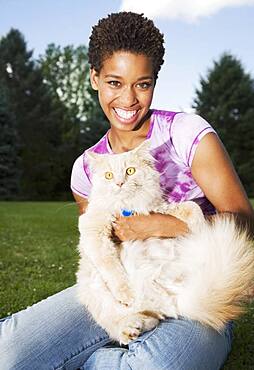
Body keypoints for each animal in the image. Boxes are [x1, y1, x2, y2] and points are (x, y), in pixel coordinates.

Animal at [77, 140, 254, 342]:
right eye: (108, 175)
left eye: (130, 171)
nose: (119, 183)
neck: (127, 206)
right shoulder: (93, 227)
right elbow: (110, 266)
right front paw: (126, 294)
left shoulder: (158, 208)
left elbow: (191, 208)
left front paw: (199, 226)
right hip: (96, 293)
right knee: (120, 322)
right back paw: (130, 328)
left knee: (155, 318)